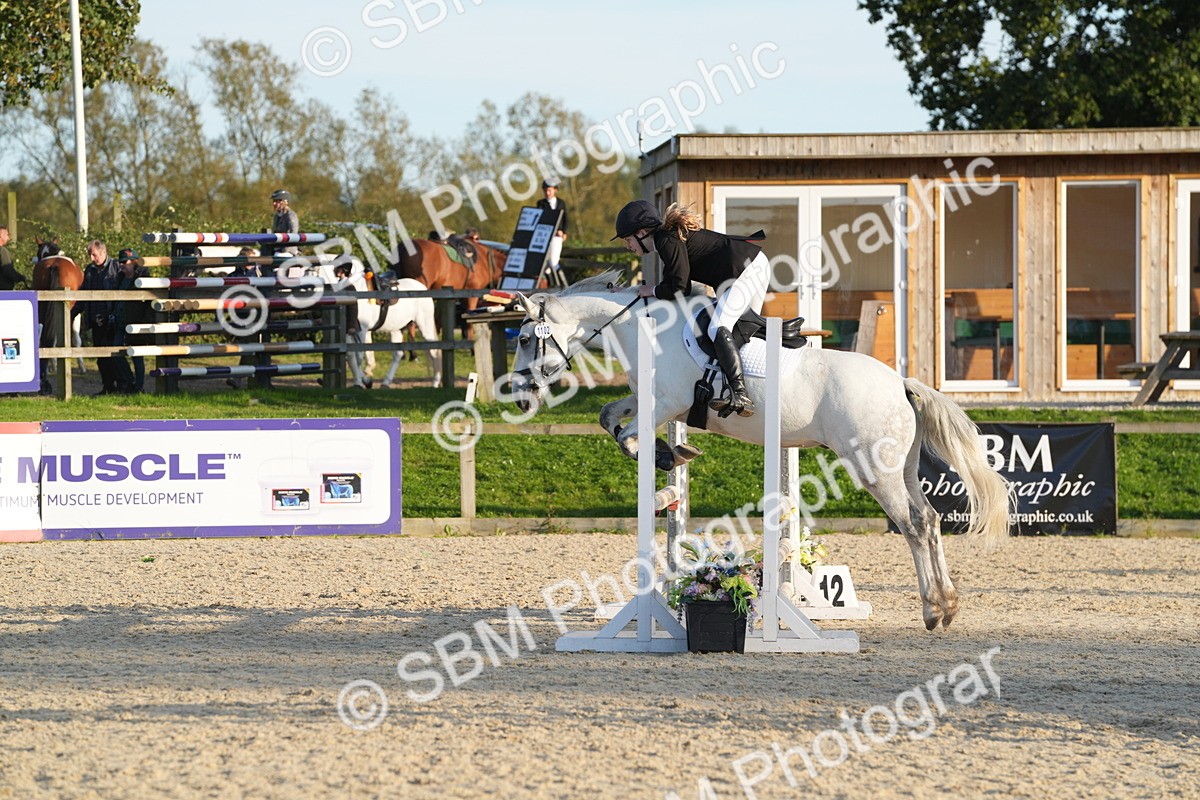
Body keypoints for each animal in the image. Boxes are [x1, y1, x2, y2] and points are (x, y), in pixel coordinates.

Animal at [507, 272, 1012, 631]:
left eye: (526, 339)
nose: (520, 399)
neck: (644, 331)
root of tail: (901, 383)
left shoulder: (665, 404)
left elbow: (628, 434)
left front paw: (668, 459)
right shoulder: (654, 403)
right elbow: (608, 416)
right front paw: (675, 455)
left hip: (873, 468)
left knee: (913, 525)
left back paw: (932, 610)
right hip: (899, 466)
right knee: (929, 519)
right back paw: (947, 605)